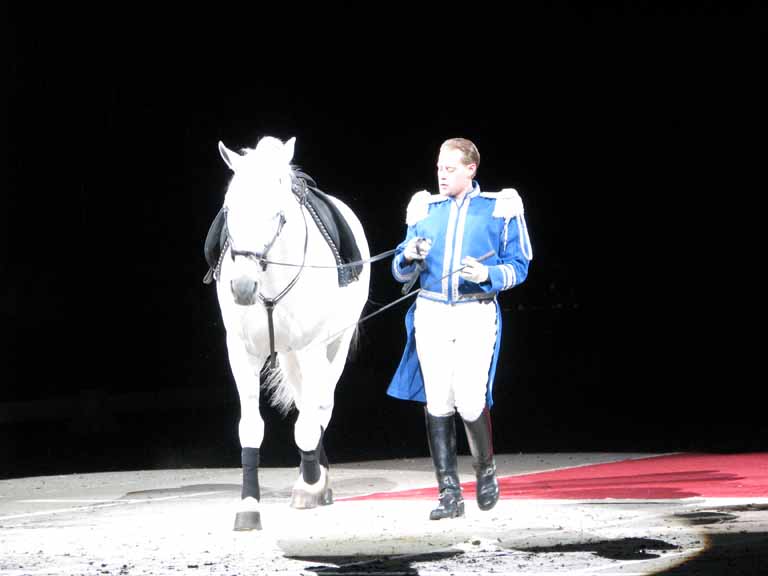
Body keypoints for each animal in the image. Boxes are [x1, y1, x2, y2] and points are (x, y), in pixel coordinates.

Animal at [207, 135, 368, 532]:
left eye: (277, 215)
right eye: (229, 210)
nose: (242, 286)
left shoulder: (312, 347)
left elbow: (309, 421)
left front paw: (309, 486)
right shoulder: (242, 353)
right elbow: (251, 428)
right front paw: (249, 506)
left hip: (332, 347)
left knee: (321, 406)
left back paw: (315, 481)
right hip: (292, 356)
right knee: (303, 402)